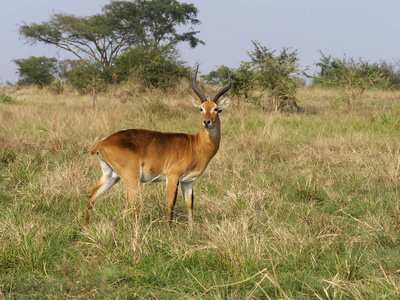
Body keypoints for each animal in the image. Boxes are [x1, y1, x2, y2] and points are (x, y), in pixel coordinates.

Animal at [84, 66, 231, 227]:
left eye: (216, 109)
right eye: (201, 109)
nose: (207, 122)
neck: (195, 144)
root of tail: (101, 143)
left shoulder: (188, 181)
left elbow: (189, 205)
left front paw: (191, 229)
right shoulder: (172, 177)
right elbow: (170, 204)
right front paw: (169, 229)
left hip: (111, 176)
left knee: (91, 195)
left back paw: (85, 227)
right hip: (132, 177)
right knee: (128, 204)